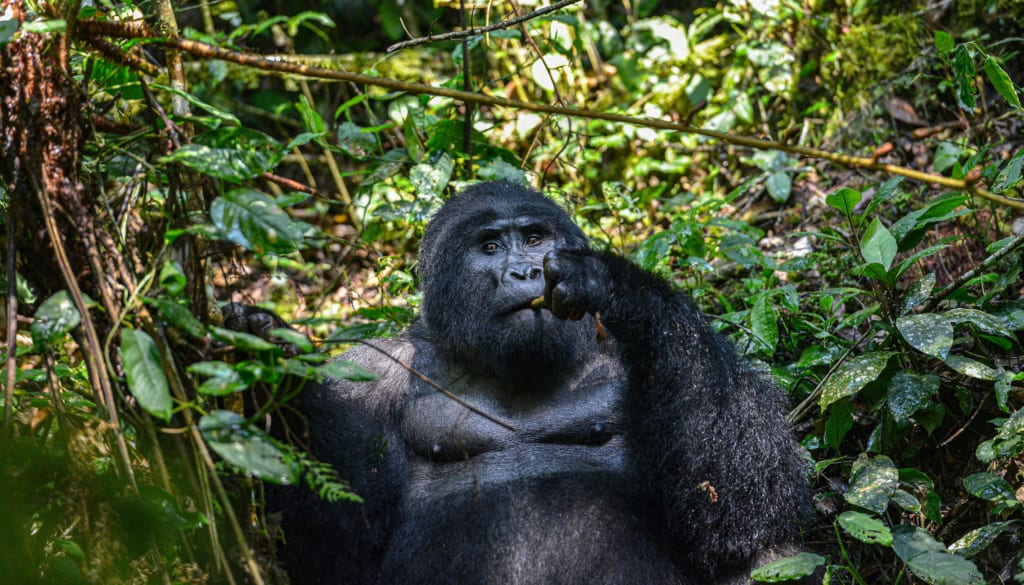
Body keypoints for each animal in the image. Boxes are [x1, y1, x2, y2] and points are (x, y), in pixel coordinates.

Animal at [253, 181, 806, 581]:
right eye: (491, 246)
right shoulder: (366, 373)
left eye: (535, 239)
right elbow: (340, 544)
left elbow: (732, 513)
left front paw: (617, 284)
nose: (525, 272)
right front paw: (273, 375)